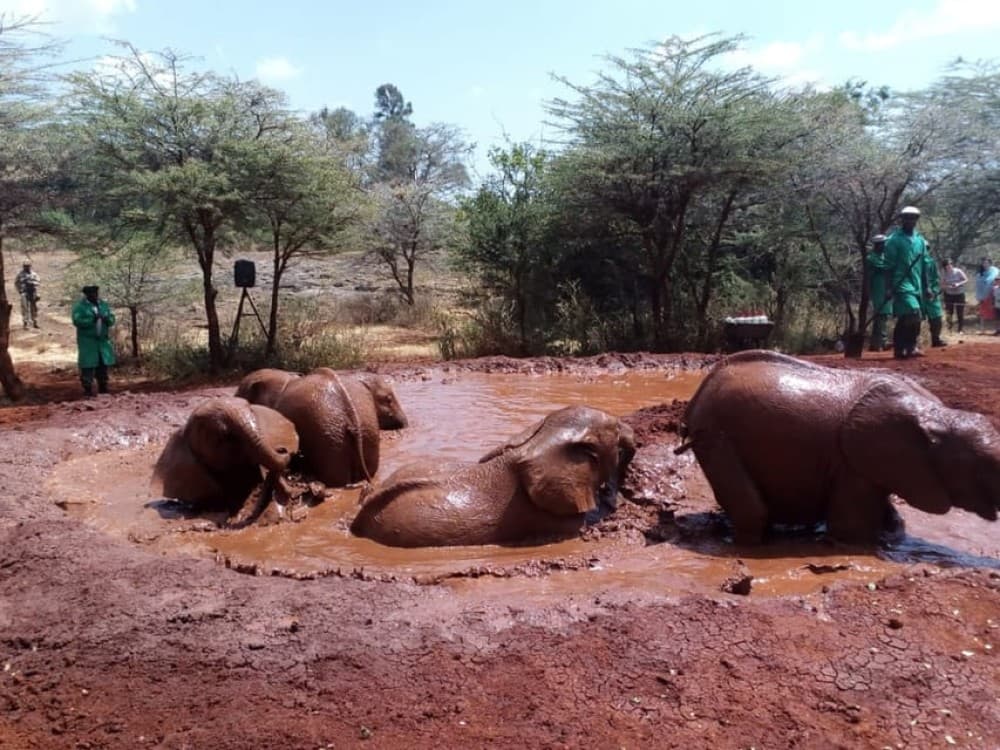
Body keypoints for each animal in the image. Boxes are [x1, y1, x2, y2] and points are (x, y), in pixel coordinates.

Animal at [677, 350, 1000, 544]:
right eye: (985, 465)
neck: (937, 414)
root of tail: (700, 392)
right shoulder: (853, 464)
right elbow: (851, 528)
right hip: (717, 437)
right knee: (752, 511)